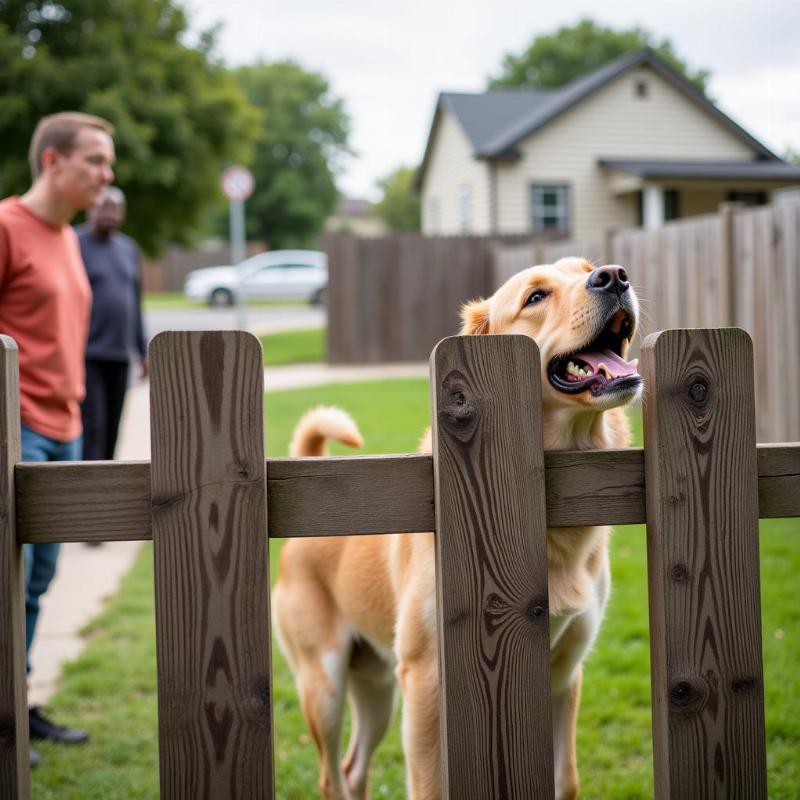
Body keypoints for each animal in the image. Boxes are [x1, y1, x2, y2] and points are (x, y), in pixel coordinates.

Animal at [272, 258, 640, 800]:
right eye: (535, 297)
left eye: (589, 269)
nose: (615, 276)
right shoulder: (427, 680)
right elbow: (430, 786)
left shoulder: (564, 674)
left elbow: (566, 781)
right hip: (326, 685)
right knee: (330, 776)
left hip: (376, 687)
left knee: (353, 768)